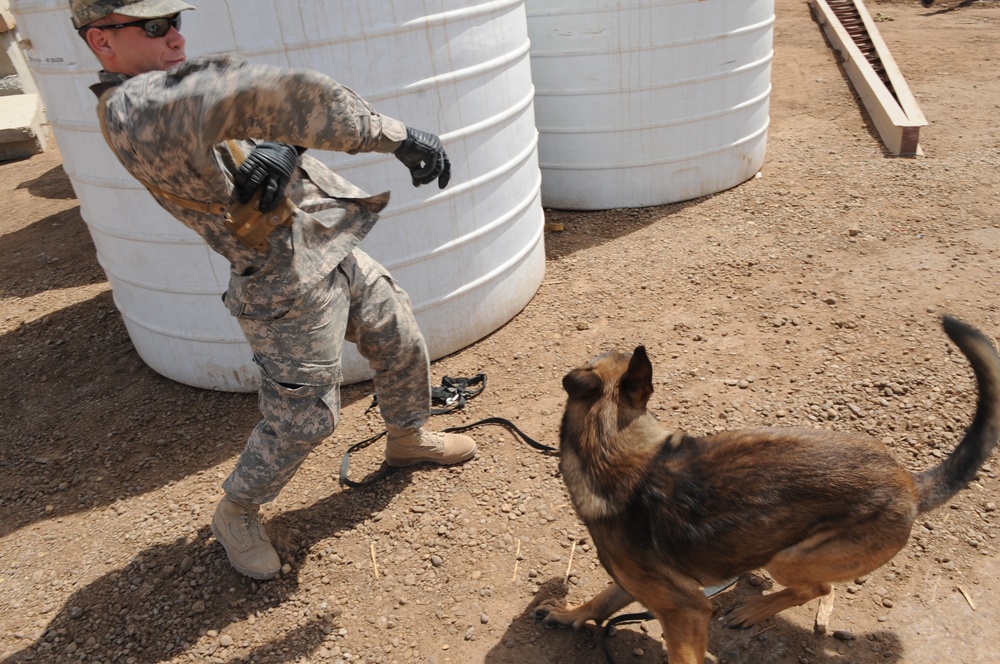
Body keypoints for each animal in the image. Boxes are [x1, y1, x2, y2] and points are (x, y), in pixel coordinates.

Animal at [536, 316, 1000, 664]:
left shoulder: (686, 611)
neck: (608, 448)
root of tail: (911, 484)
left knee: (818, 588)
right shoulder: (643, 582)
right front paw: (570, 614)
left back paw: (755, 608)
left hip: (787, 558)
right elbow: (602, 599)